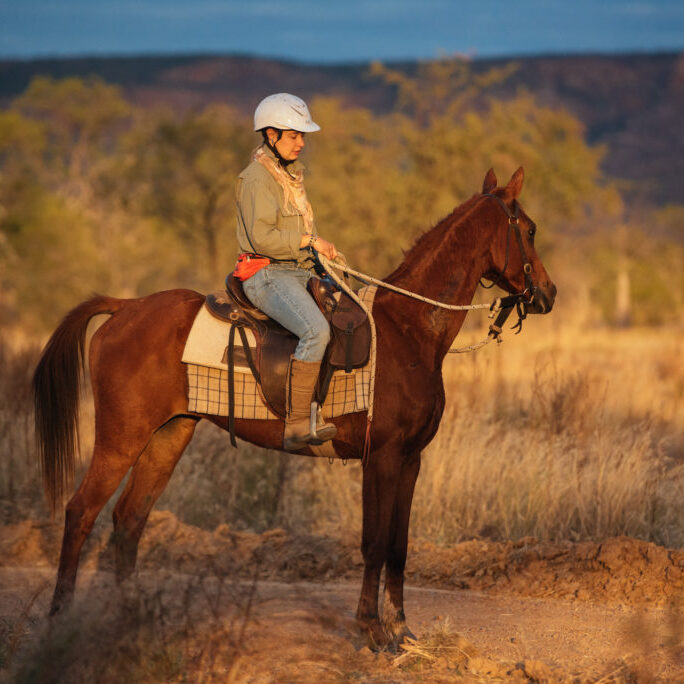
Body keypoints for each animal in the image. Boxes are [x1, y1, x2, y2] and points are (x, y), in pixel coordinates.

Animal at [33, 167, 555, 649]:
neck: (408, 332)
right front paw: (373, 630)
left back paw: (130, 624)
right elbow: (374, 543)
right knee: (81, 512)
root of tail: (124, 308)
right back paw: (60, 622)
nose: (548, 294)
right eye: (529, 229)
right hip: (121, 439)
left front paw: (403, 631)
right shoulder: (382, 457)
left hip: (169, 434)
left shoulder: (411, 460)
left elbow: (400, 546)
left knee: (129, 520)